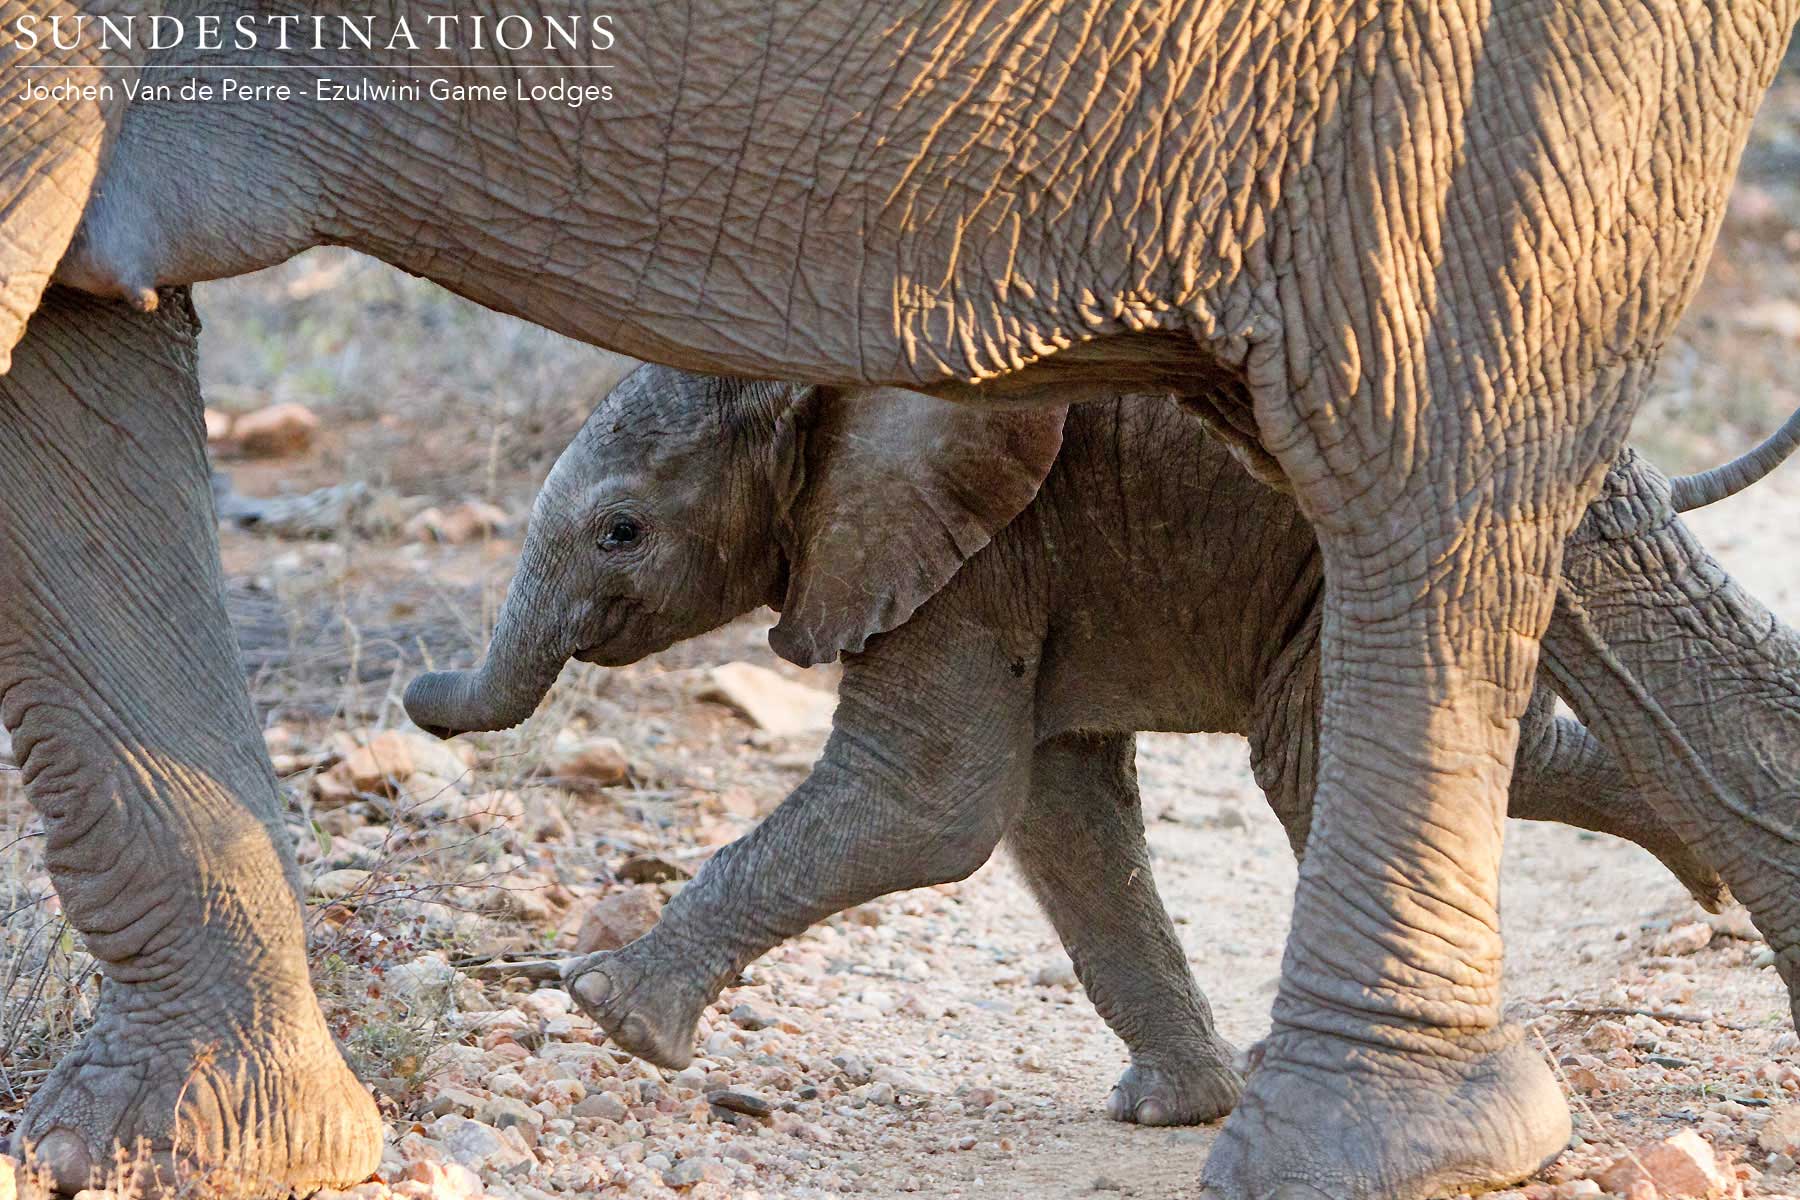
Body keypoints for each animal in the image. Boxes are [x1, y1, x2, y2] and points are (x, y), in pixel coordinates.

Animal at [405, 362, 1796, 1127]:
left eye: (621, 531)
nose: (417, 690)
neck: (828, 383)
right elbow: (1054, 813)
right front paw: (1173, 1112)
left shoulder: (978, 543)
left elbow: (930, 805)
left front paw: (608, 1011)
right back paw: (1702, 874)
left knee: (1312, 767)